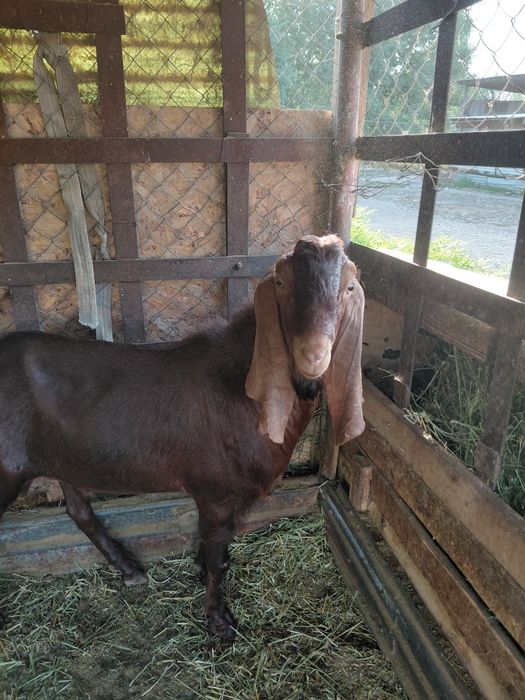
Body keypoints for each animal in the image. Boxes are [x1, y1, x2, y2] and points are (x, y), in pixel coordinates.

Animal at [0, 234, 365, 639]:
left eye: (350, 286)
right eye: (282, 283)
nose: (313, 357)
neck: (242, 387)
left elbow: (215, 547)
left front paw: (200, 573)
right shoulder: (215, 491)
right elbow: (220, 559)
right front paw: (218, 621)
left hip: (66, 456)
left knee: (79, 510)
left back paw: (130, 568)